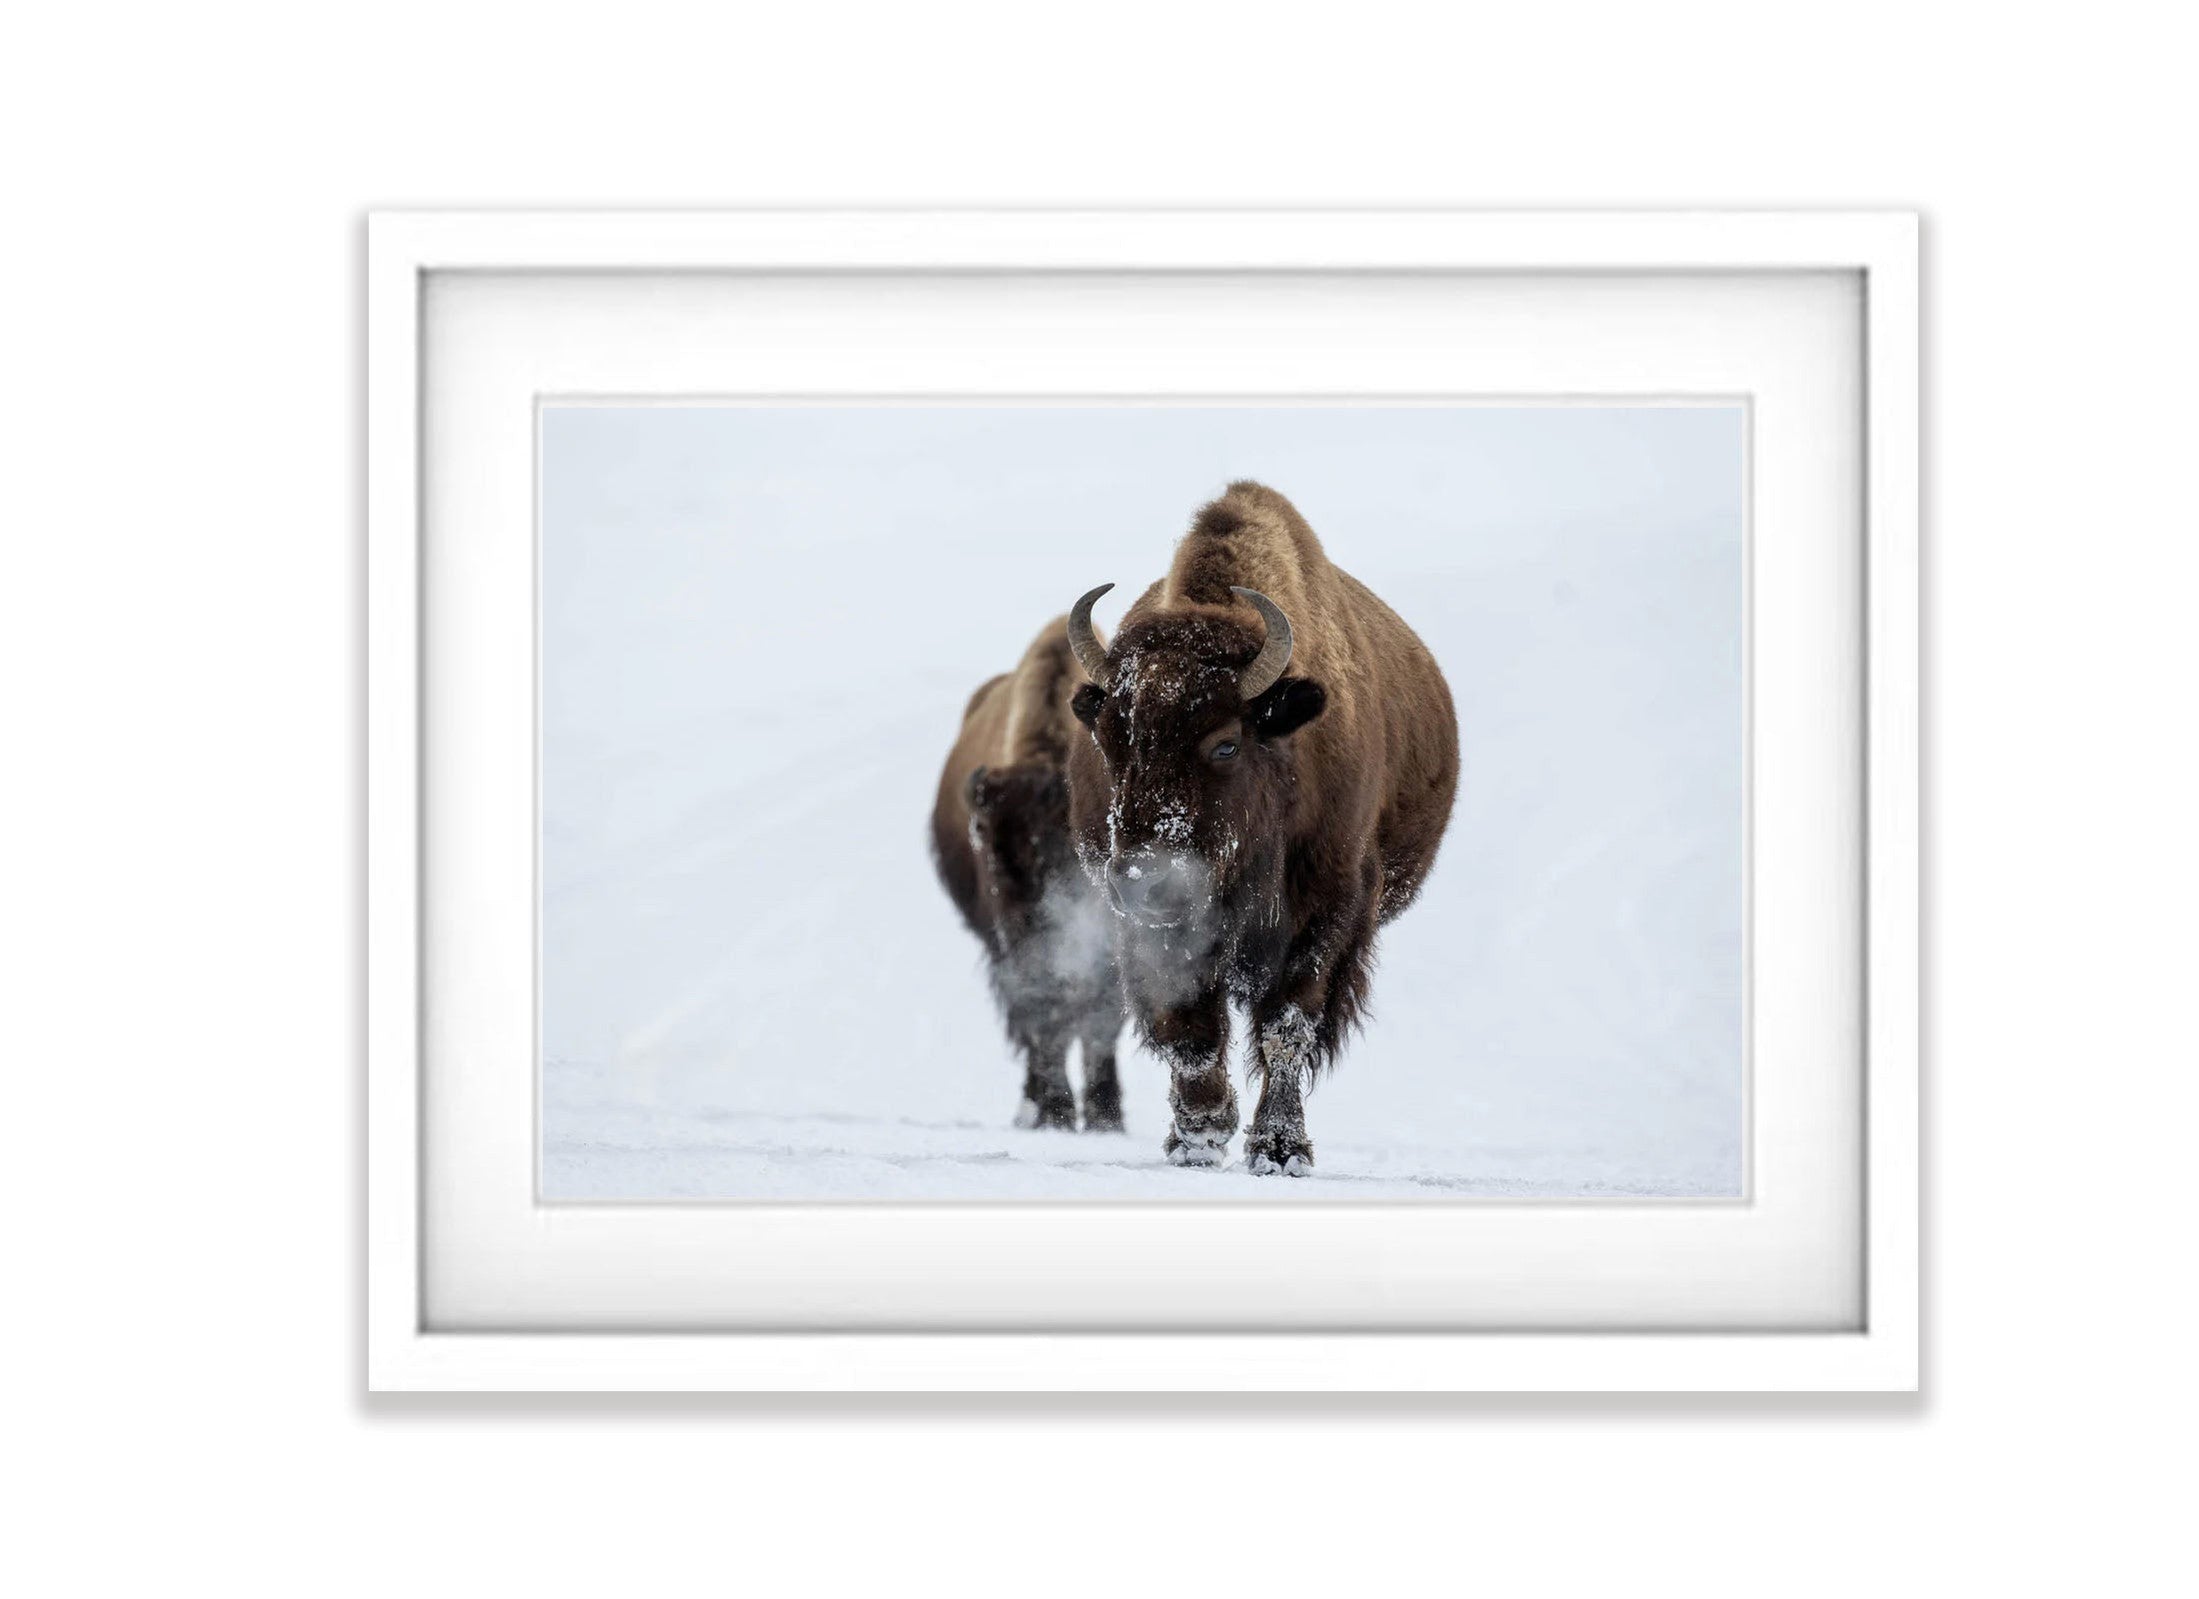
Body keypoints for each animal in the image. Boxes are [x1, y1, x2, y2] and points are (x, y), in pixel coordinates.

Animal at [933, 617, 1128, 1131]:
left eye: (1081, 835)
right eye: (982, 832)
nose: (1033, 906)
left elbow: (1102, 1015)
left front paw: (1105, 1117)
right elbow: (1044, 1012)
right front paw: (1056, 1111)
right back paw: (1036, 1105)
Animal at [1064, 481, 1459, 1173]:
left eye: (1226, 743)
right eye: (1110, 740)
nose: (1143, 879)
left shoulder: (1328, 910)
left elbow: (1286, 1025)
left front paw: (1279, 1148)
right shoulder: (1151, 930)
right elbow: (1188, 1024)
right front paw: (1199, 1136)